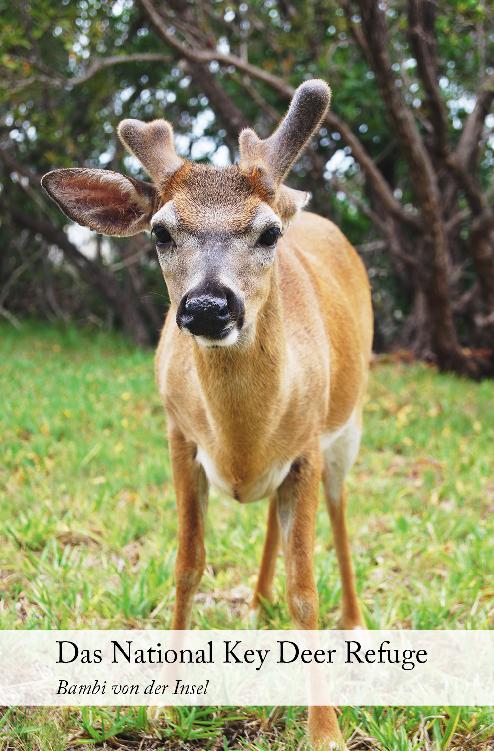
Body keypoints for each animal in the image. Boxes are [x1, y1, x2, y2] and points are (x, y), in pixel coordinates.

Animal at [42, 79, 372, 748]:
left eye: (267, 234)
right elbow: (187, 565)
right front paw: (163, 704)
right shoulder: (178, 434)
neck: (240, 438)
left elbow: (306, 588)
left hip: (345, 427)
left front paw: (325, 730)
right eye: (161, 232)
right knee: (273, 517)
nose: (207, 306)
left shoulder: (306, 446)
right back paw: (256, 600)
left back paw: (352, 621)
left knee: (339, 510)